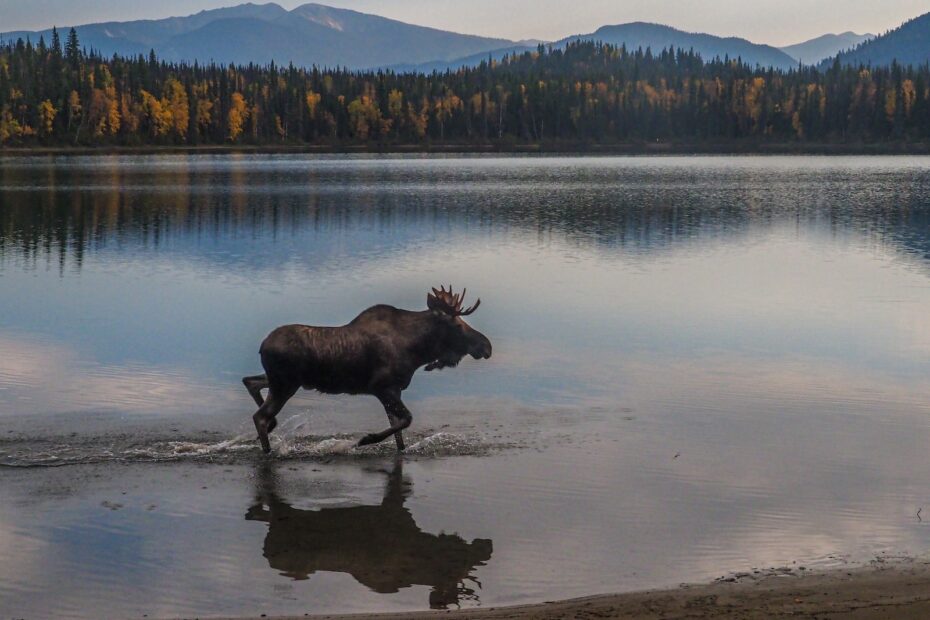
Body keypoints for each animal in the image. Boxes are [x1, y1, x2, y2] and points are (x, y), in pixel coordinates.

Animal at [245, 284, 492, 450]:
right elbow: (407, 419)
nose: (486, 346)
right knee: (260, 416)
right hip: (285, 384)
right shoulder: (382, 387)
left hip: (282, 381)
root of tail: (262, 346)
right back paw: (268, 448)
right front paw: (366, 439)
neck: (417, 351)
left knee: (250, 382)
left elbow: (399, 434)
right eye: (457, 325)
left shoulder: (394, 391)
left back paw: (271, 427)